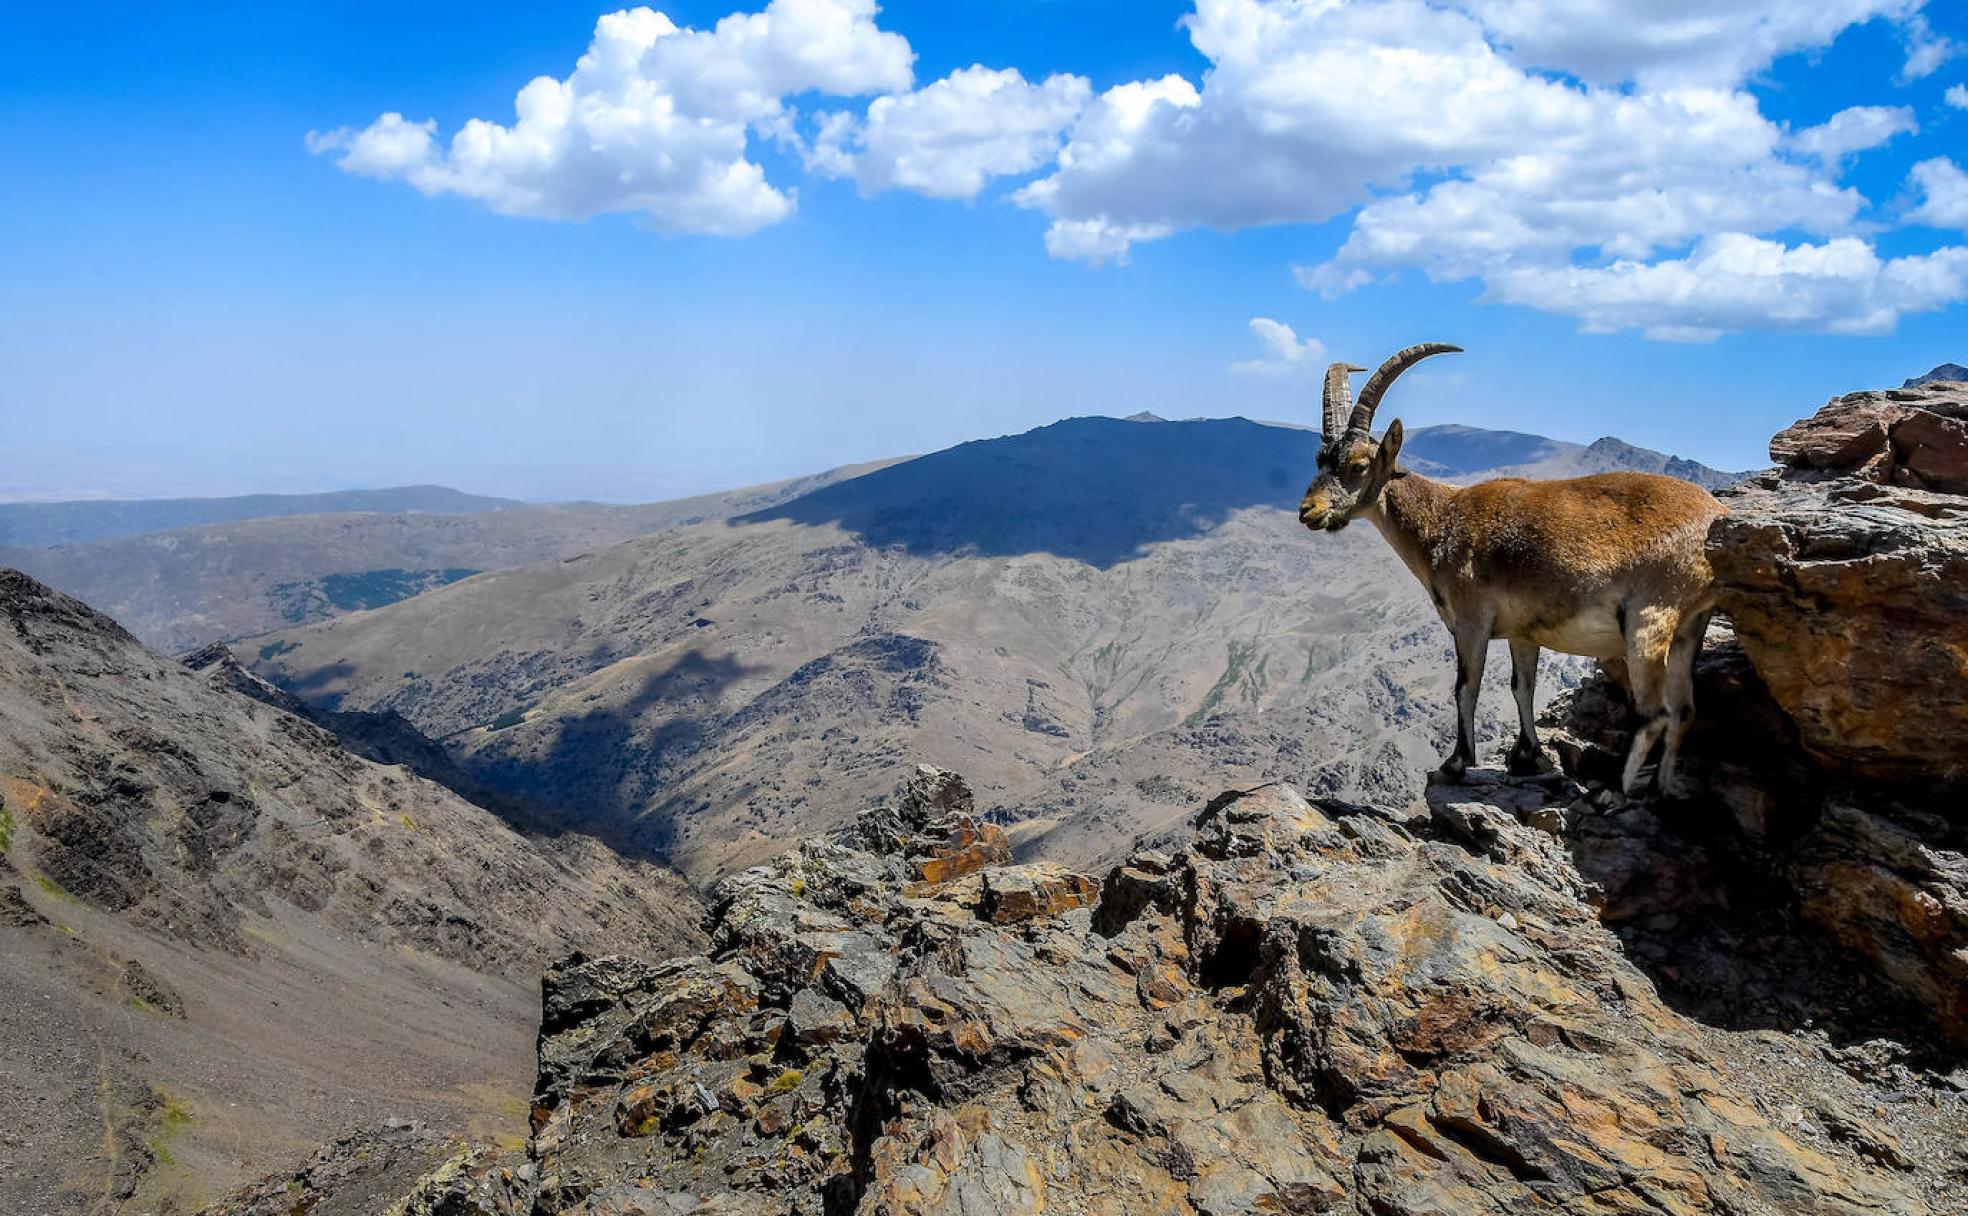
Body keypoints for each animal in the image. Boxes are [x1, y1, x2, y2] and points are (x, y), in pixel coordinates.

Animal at [1297, 344, 1725, 796]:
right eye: (1320, 458)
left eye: (1359, 465)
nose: (1308, 511)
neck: (1441, 520)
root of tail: (1716, 517)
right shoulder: (1523, 630)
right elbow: (1522, 687)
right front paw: (1528, 757)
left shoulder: (1471, 619)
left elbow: (1466, 686)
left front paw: (1455, 764)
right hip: (1691, 625)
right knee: (1684, 709)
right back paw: (1662, 788)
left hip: (1650, 614)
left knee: (1655, 712)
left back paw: (1613, 790)